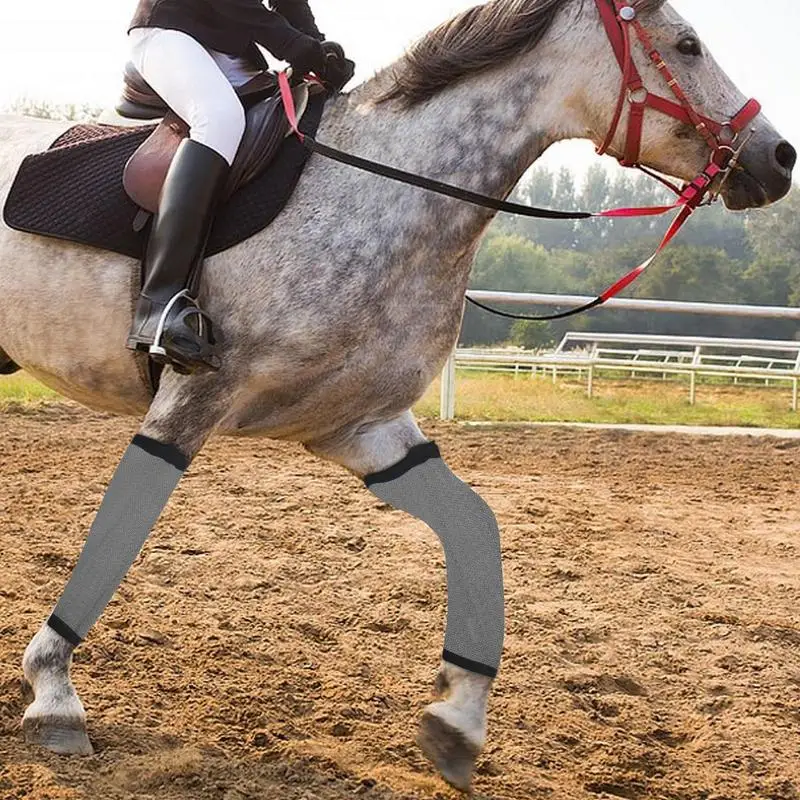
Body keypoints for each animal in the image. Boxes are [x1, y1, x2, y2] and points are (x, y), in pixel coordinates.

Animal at [0, 0, 792, 792]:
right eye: (687, 45)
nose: (779, 158)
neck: (386, 191)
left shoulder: (363, 426)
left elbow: (476, 527)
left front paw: (457, 721)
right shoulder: (191, 405)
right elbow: (118, 536)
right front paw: (53, 693)